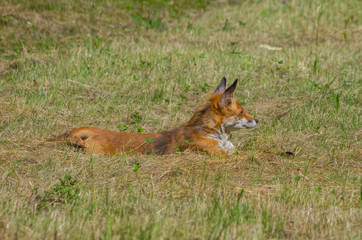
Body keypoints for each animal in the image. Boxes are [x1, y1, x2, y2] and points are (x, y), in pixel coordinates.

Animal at [55, 77, 258, 156]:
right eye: (241, 112)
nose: (257, 120)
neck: (217, 136)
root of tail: (96, 130)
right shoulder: (218, 154)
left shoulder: (232, 151)